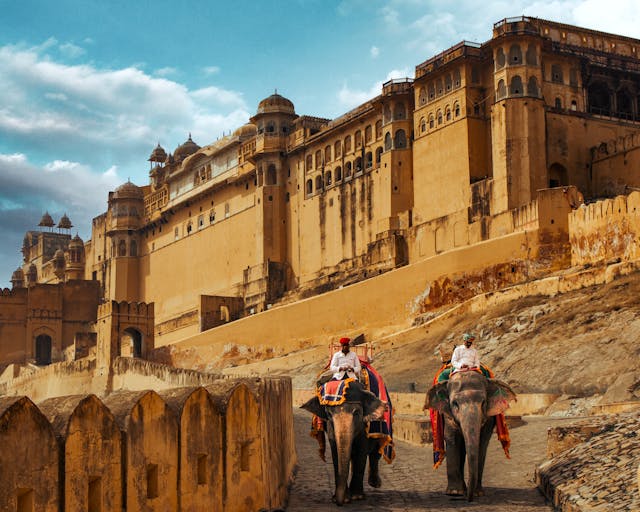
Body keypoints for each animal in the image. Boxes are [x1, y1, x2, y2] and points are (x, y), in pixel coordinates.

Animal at [302, 378, 388, 506]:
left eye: (357, 413)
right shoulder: (330, 427)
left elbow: (361, 453)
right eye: (329, 414)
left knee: (375, 453)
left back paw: (374, 483)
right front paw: (344, 498)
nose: (339, 503)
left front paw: (357, 497)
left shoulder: (364, 427)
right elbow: (335, 452)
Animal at [428, 370, 516, 502]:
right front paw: (455, 493)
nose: (469, 499)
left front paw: (477, 493)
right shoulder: (447, 413)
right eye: (455, 403)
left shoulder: (489, 417)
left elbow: (482, 442)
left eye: (483, 403)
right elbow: (452, 439)